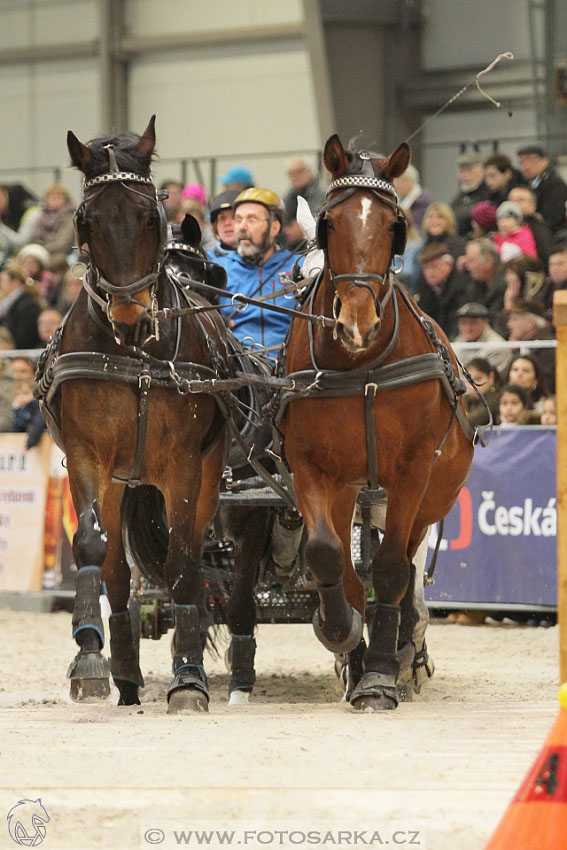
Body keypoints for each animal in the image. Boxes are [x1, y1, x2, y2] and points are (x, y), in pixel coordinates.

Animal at [38, 112, 230, 708]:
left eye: (149, 217)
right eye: (89, 219)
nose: (129, 312)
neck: (134, 354)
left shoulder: (185, 465)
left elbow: (184, 564)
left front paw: (188, 677)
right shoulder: (86, 456)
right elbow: (91, 548)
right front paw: (88, 657)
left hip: (205, 471)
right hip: (121, 481)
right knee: (118, 573)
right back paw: (123, 674)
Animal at [278, 136, 472, 708]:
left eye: (393, 225)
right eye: (331, 223)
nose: (355, 323)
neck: (360, 366)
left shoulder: (411, 470)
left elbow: (388, 570)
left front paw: (383, 672)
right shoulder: (311, 467)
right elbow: (329, 558)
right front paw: (343, 636)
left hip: (426, 498)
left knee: (406, 566)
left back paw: (405, 648)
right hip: (350, 493)